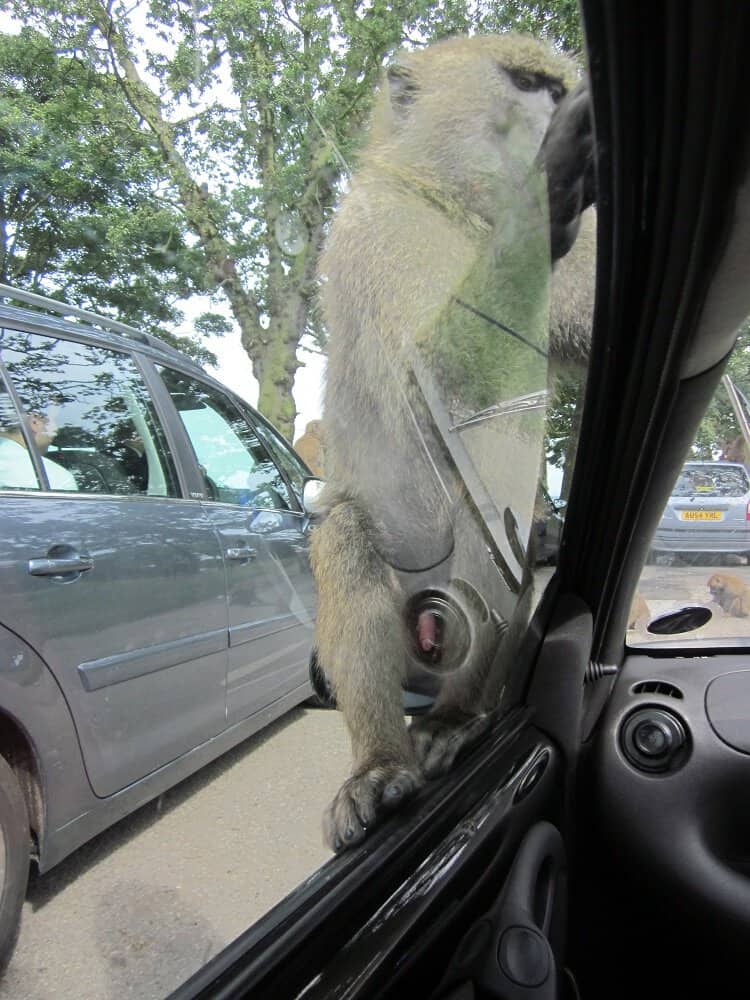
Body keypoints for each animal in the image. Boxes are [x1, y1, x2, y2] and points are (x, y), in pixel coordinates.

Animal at [310, 34, 596, 853]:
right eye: (529, 83)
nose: (566, 110)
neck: (453, 205)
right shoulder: (379, 227)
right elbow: (433, 382)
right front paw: (546, 192)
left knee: (492, 526)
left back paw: (456, 719)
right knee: (349, 533)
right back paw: (383, 763)